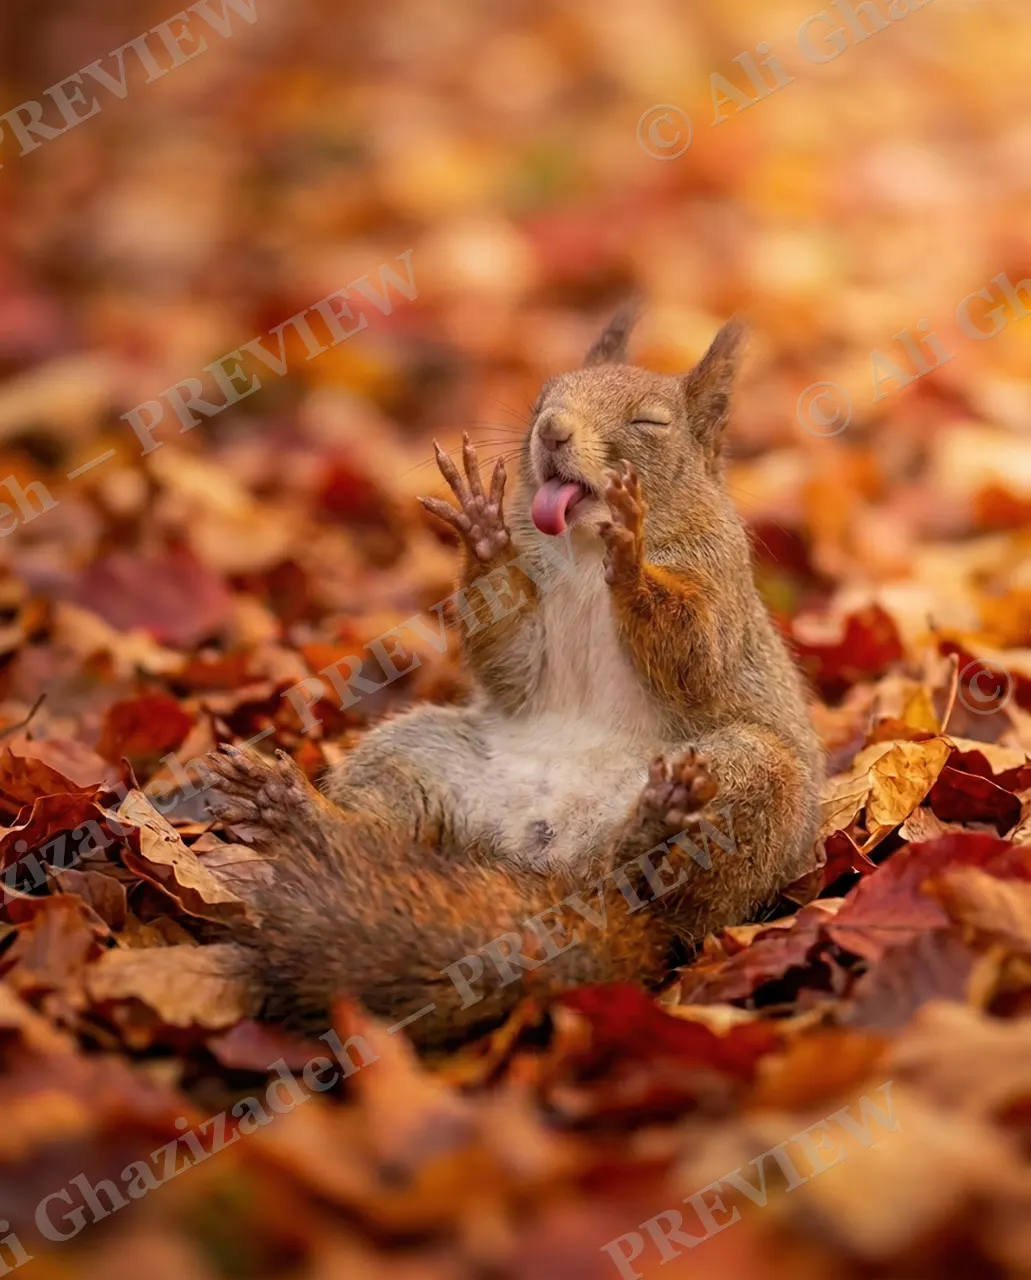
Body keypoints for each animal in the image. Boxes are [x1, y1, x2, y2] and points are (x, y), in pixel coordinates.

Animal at [205, 309, 823, 1046]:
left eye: (650, 421)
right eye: (541, 398)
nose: (551, 429)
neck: (582, 552)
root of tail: (547, 865)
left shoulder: (717, 587)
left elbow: (695, 655)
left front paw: (632, 553)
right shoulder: (525, 635)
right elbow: (510, 660)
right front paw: (481, 529)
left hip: (751, 780)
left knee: (641, 884)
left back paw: (653, 822)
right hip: (417, 756)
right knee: (380, 828)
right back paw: (295, 809)